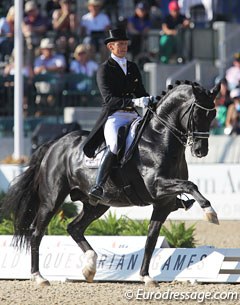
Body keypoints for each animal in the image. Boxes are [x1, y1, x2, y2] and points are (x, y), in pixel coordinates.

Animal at [0, 80, 220, 284]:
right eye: (197, 114)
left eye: (213, 115)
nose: (201, 151)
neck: (159, 139)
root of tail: (55, 144)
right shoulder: (157, 186)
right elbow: (191, 185)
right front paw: (210, 213)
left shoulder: (163, 204)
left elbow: (151, 239)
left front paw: (146, 277)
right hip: (52, 200)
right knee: (36, 233)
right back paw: (38, 277)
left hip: (96, 205)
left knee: (74, 228)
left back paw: (89, 268)